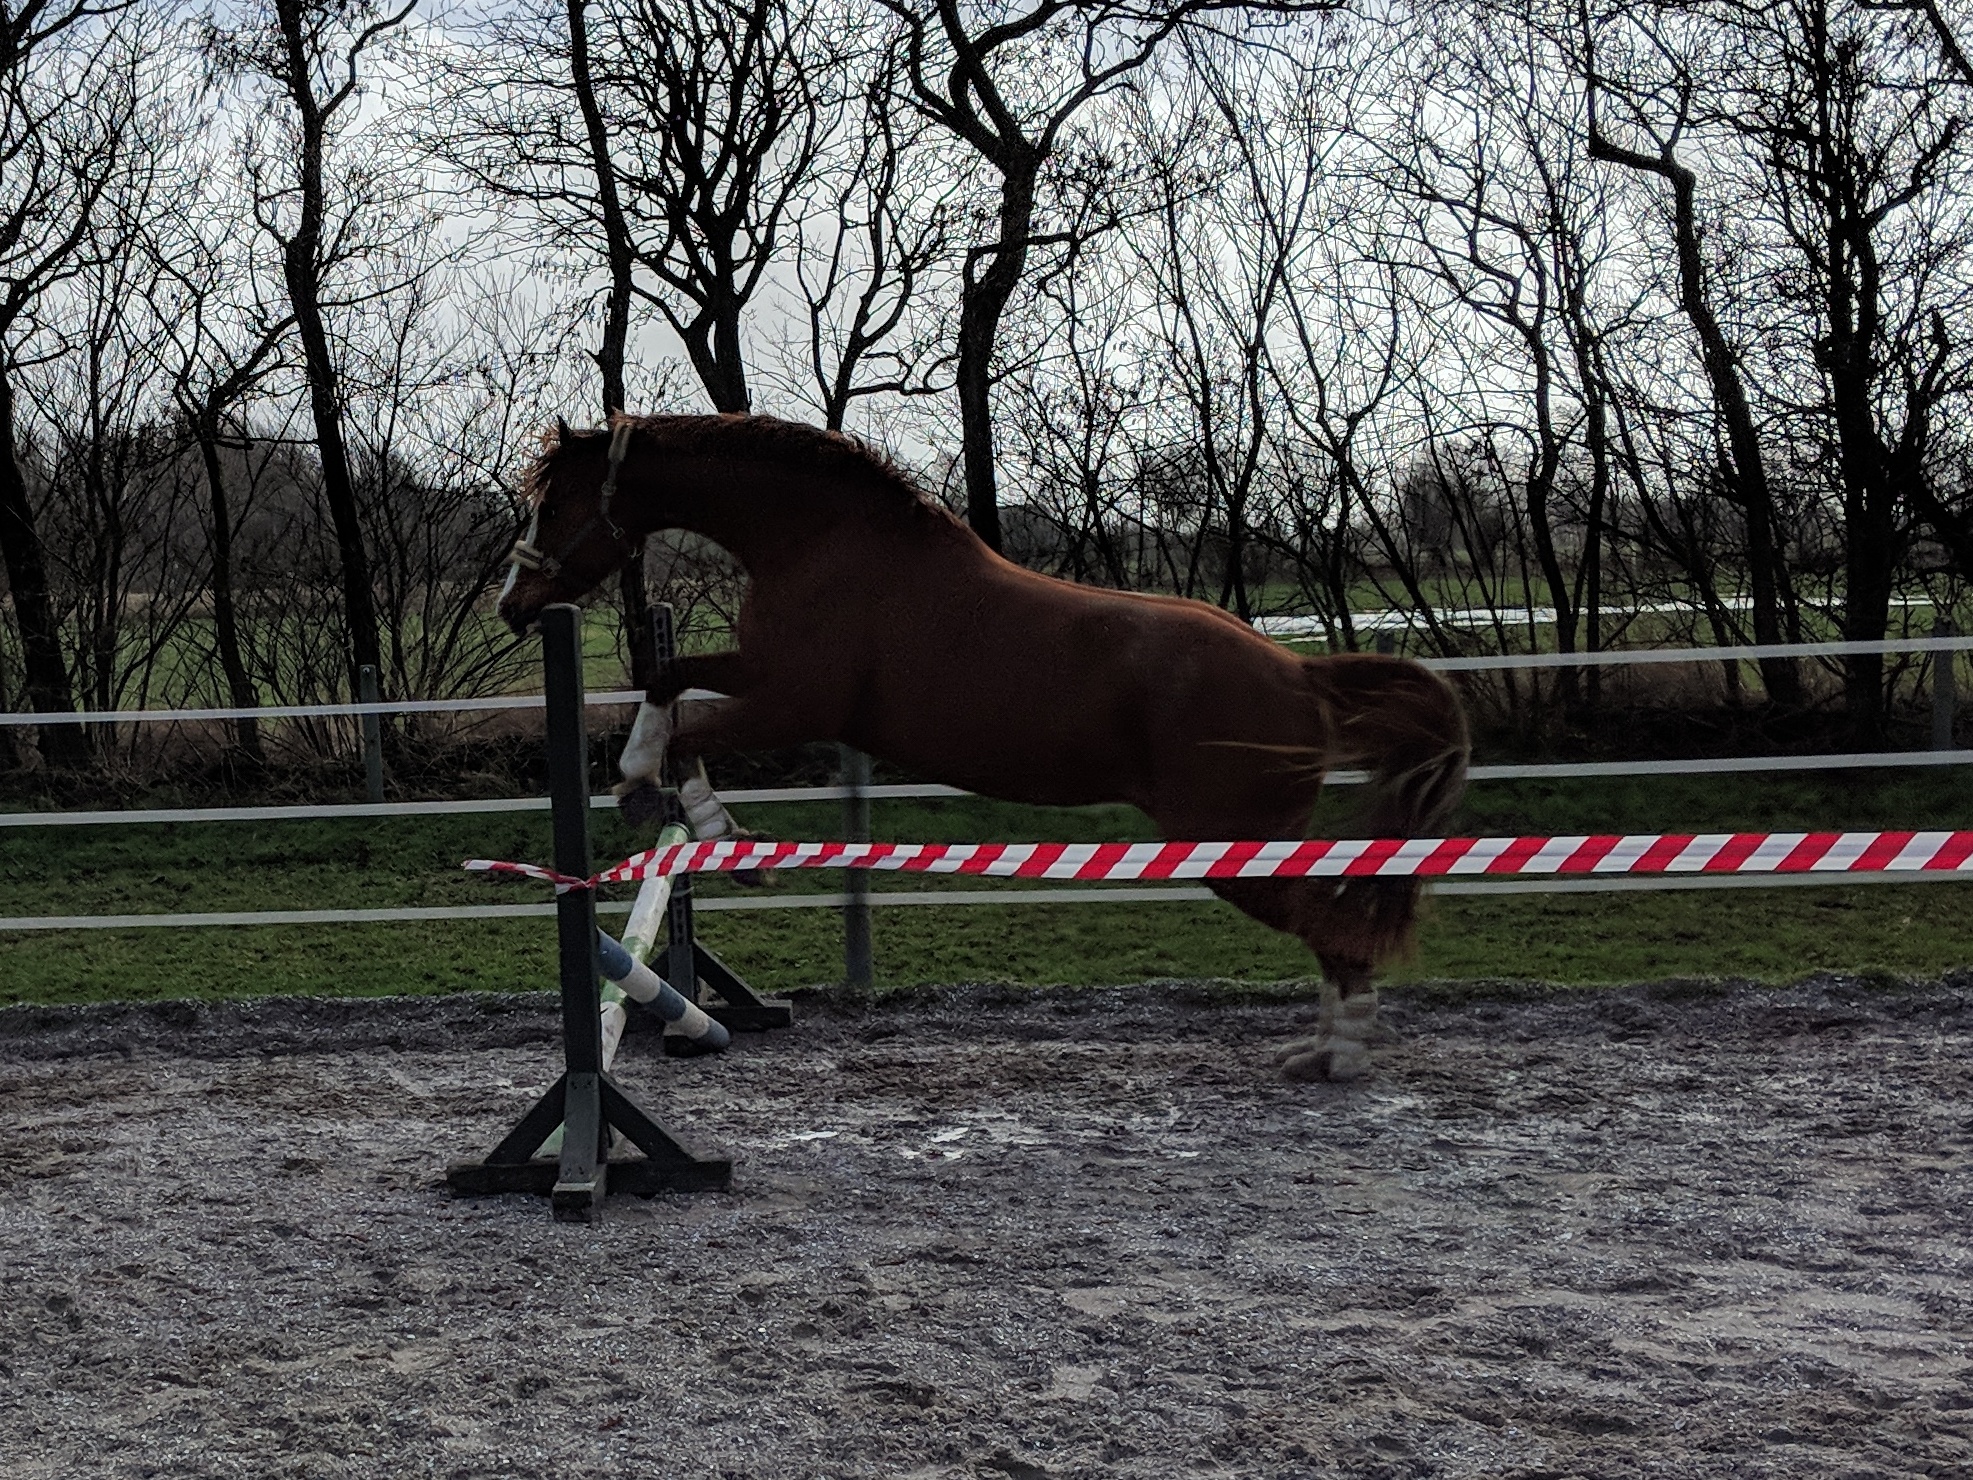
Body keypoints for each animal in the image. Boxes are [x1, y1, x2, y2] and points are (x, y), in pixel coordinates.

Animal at [498, 413, 1470, 1081]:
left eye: (554, 500)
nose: (513, 605)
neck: (822, 543)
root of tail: (1301, 677)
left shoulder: (796, 700)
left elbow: (688, 726)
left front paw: (699, 821)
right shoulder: (762, 675)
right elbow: (667, 682)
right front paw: (644, 789)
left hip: (1232, 847)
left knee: (1334, 921)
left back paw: (1341, 1057)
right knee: (1334, 915)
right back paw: (1328, 1050)